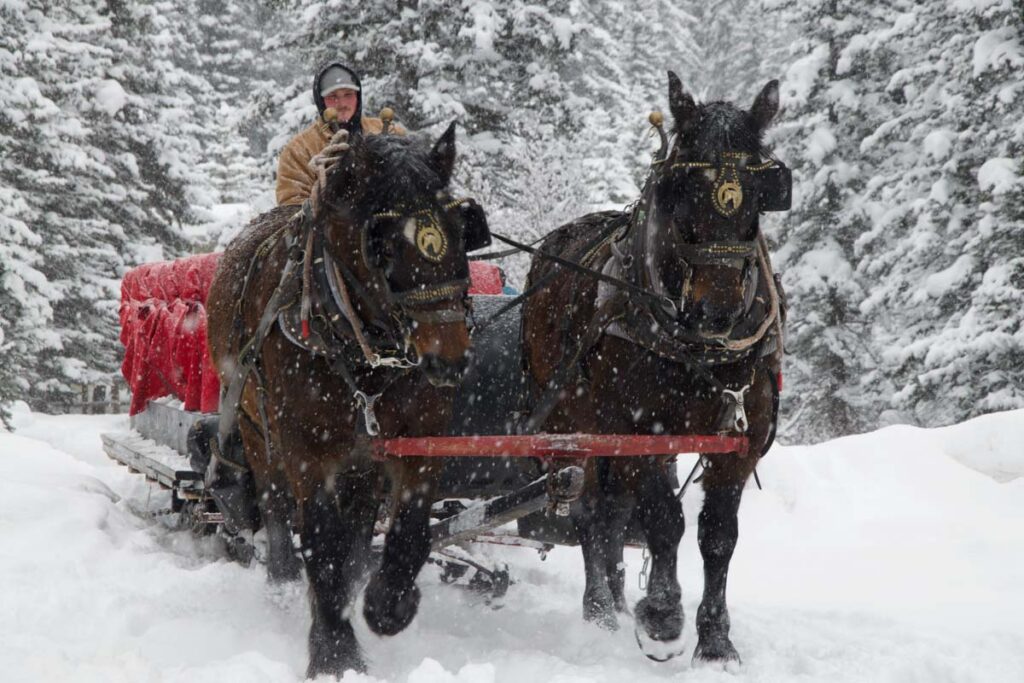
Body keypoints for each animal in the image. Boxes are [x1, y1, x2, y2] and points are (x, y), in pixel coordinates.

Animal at [205, 123, 490, 677]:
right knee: (276, 506)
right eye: (382, 246)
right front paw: (334, 650)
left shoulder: (420, 436)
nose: (449, 360)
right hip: (254, 426)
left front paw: (388, 604)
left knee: (358, 524)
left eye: (460, 229)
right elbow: (320, 537)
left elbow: (409, 529)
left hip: (361, 457)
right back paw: (284, 584)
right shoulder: (305, 448)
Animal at [521, 72, 789, 666]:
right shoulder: (642, 429)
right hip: (581, 425)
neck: (698, 346)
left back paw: (619, 601)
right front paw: (664, 614)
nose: (717, 309)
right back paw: (600, 608)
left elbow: (718, 534)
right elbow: (665, 520)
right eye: (681, 189)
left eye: (762, 195)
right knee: (590, 509)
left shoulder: (741, 435)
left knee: (614, 512)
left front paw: (715, 641)